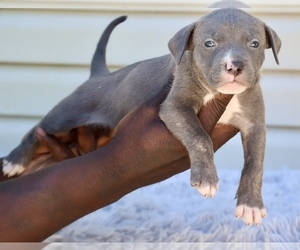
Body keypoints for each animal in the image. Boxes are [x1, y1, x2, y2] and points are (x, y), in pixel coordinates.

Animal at [2, 2, 280, 225]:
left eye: (254, 44)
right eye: (209, 44)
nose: (235, 66)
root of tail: (100, 75)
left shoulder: (255, 125)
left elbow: (255, 164)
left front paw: (251, 205)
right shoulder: (175, 106)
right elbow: (200, 137)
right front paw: (206, 179)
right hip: (67, 115)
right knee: (36, 129)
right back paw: (15, 161)